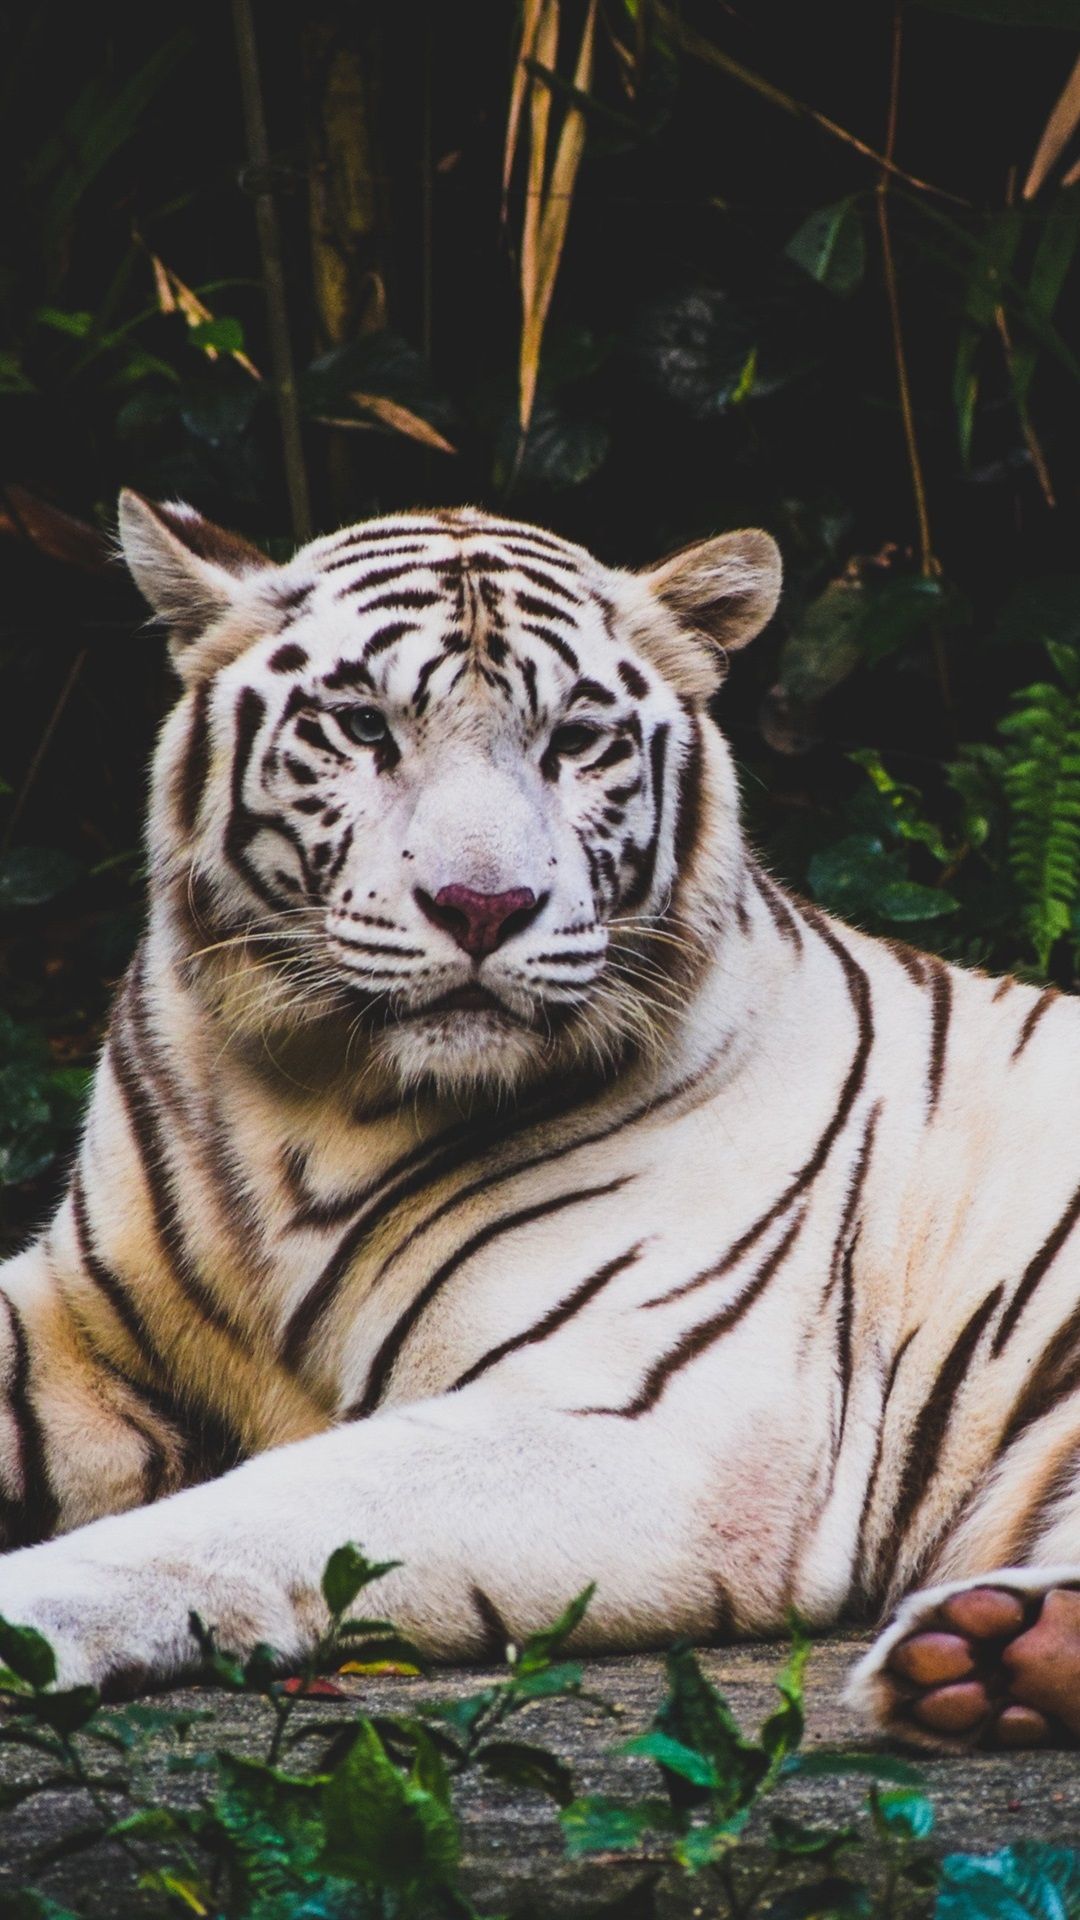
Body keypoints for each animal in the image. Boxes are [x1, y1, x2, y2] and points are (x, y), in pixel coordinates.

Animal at [0, 489, 1079, 1753]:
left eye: (576, 740)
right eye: (363, 727)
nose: (484, 905)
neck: (312, 1100)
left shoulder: (653, 1427)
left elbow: (256, 1513)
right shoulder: (79, 1325)